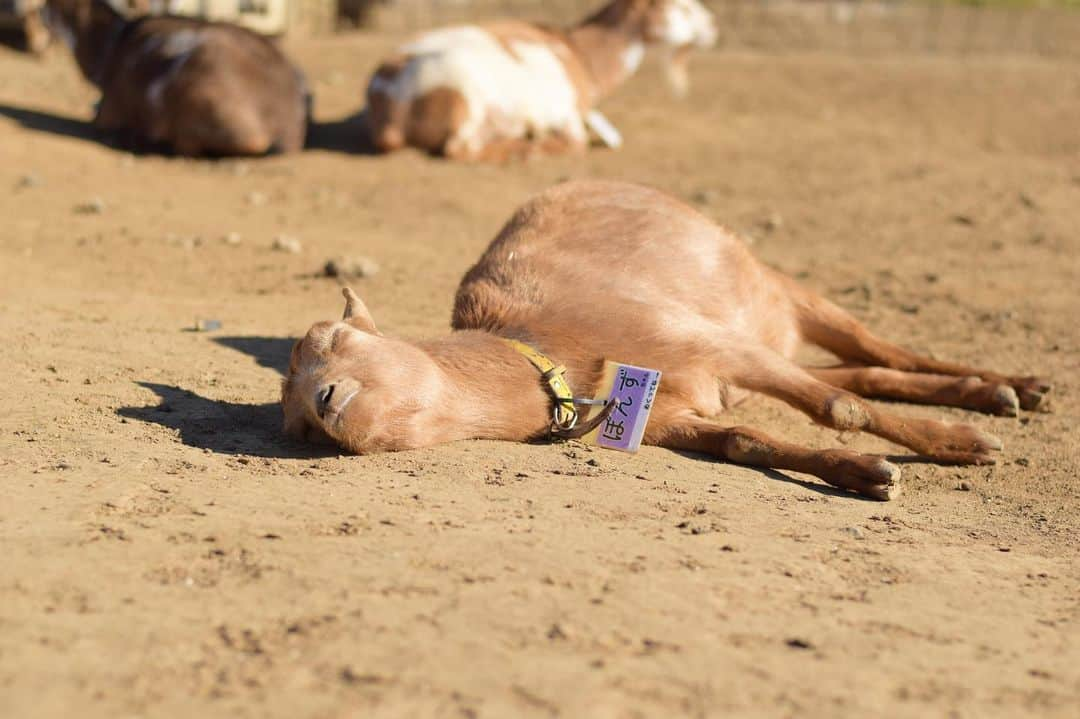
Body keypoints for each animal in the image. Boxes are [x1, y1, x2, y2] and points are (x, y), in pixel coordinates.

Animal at [282, 179, 1049, 498]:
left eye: (337, 335)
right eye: (294, 428)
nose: (325, 402)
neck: (554, 361)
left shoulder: (702, 340)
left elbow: (838, 408)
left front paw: (959, 447)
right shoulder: (669, 413)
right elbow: (745, 440)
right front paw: (859, 473)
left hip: (768, 288)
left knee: (874, 351)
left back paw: (1010, 389)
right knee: (861, 370)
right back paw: (999, 392)